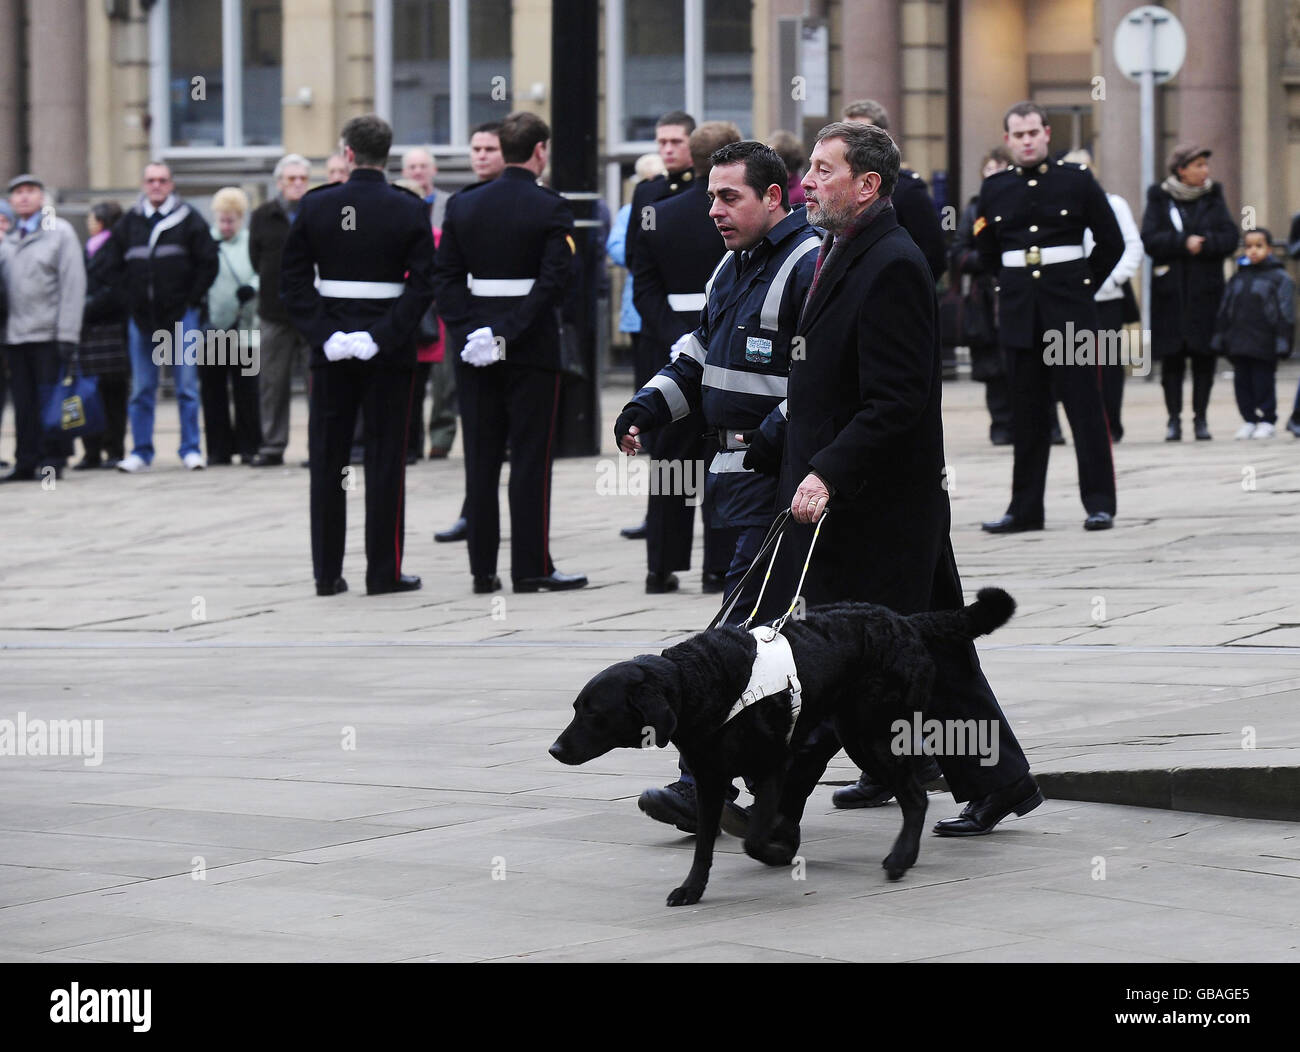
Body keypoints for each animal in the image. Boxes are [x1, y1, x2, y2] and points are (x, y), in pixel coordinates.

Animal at [548, 587, 1013, 905]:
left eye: (593, 712)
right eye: (576, 707)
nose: (554, 750)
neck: (701, 680)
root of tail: (907, 622)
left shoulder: (773, 764)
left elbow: (754, 838)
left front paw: (777, 851)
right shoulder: (711, 778)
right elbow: (704, 845)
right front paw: (692, 888)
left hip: (869, 736)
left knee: (915, 797)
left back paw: (901, 859)